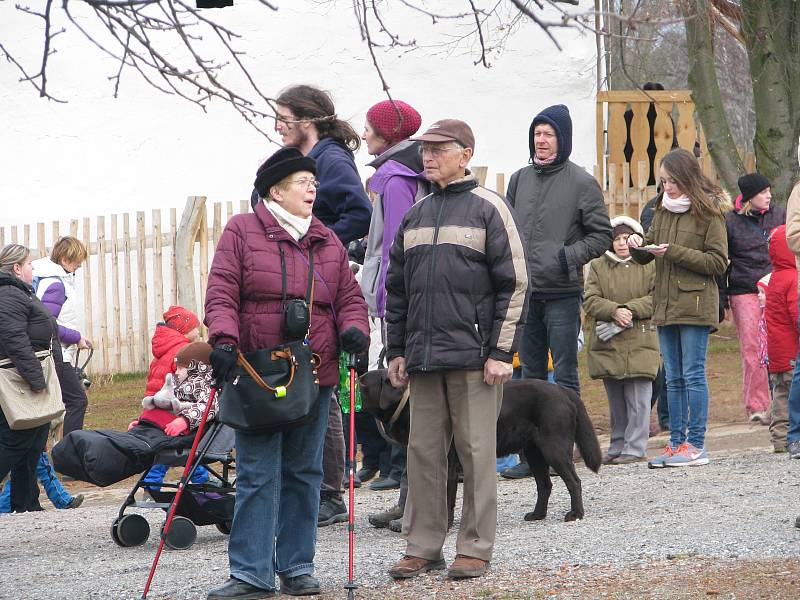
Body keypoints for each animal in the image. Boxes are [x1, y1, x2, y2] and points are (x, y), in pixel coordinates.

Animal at [362, 368, 600, 524]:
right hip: (534, 452)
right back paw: (537, 515)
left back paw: (575, 514)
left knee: (574, 481)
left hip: (554, 448)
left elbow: (446, 500)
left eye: (363, 384)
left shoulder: (447, 465)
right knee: (545, 485)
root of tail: (563, 391)